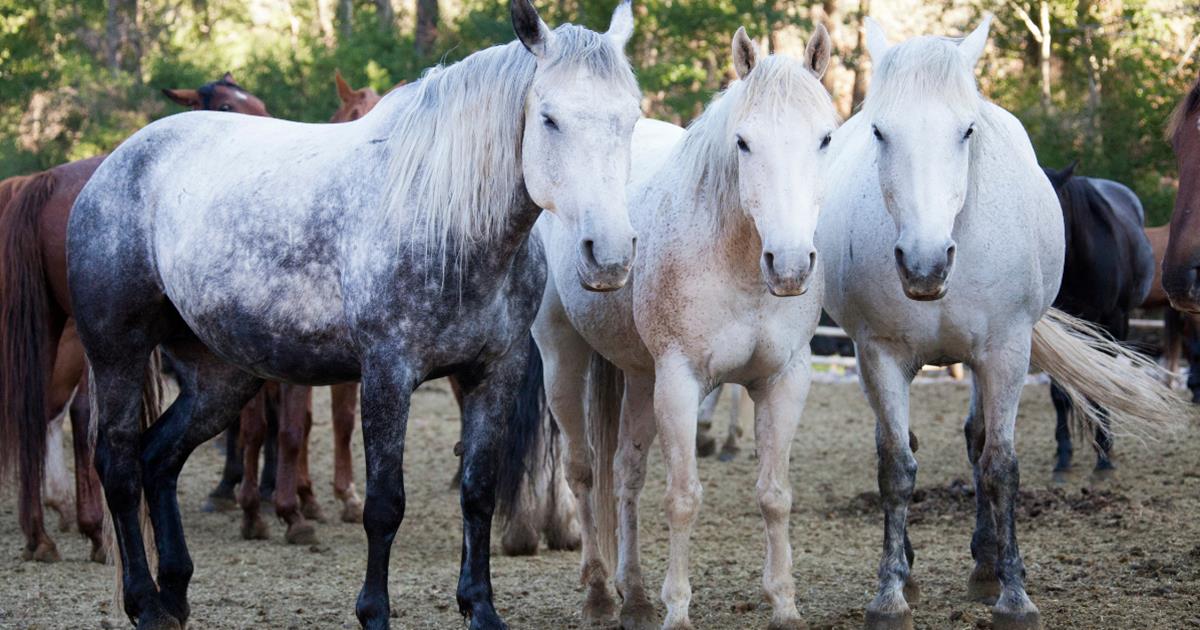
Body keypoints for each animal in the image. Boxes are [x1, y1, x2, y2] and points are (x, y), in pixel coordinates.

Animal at [0, 74, 269, 564]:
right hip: (90, 338)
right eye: (225, 106)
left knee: (38, 409)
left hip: (55, 326)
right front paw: (253, 511)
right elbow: (254, 427)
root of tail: (46, 181)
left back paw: (43, 532)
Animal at [66, 1, 641, 627]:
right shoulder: (387, 374)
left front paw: (480, 608)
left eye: (632, 116)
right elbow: (384, 504)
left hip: (220, 378)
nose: (610, 255)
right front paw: (374, 612)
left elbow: (478, 492)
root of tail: (115, 163)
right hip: (117, 354)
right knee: (120, 467)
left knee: (159, 458)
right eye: (549, 119)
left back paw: (173, 593)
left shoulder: (495, 373)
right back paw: (144, 602)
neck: (445, 221)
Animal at [535, 26, 835, 629]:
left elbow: (775, 496)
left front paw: (784, 603)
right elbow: (682, 499)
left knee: (625, 474)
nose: (790, 265)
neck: (737, 260)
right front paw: (678, 610)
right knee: (583, 472)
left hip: (639, 379)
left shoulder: (784, 382)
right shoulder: (681, 382)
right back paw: (600, 593)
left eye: (824, 139)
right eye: (743, 143)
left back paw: (635, 596)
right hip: (564, 360)